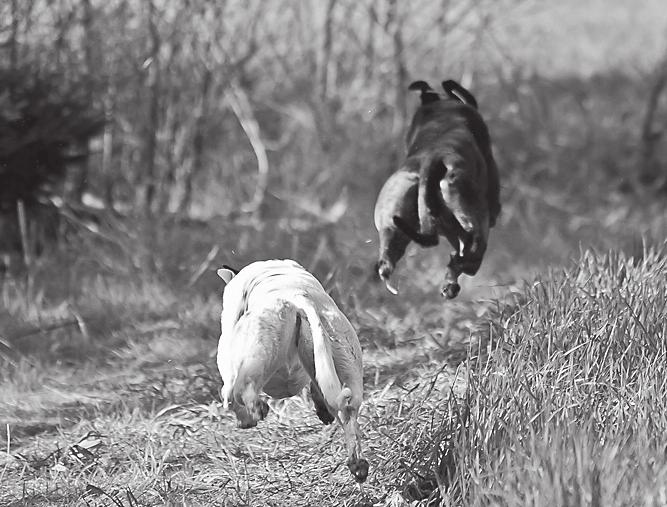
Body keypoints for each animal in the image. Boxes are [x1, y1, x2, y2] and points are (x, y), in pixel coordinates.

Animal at [215, 262, 368, 484]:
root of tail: (299, 298)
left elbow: (228, 395)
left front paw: (244, 418)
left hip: (259, 352)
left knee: (240, 390)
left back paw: (256, 410)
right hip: (345, 359)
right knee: (348, 412)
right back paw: (357, 465)